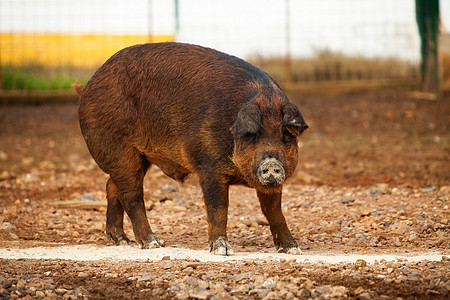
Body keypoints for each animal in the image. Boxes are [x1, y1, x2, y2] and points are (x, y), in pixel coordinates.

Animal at [76, 42, 310, 255]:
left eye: (286, 135)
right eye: (252, 135)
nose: (271, 162)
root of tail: (88, 86)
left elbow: (274, 211)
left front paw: (293, 249)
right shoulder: (209, 167)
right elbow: (218, 208)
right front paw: (222, 250)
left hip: (138, 157)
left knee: (111, 186)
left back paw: (121, 240)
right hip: (121, 151)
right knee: (131, 195)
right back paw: (154, 242)